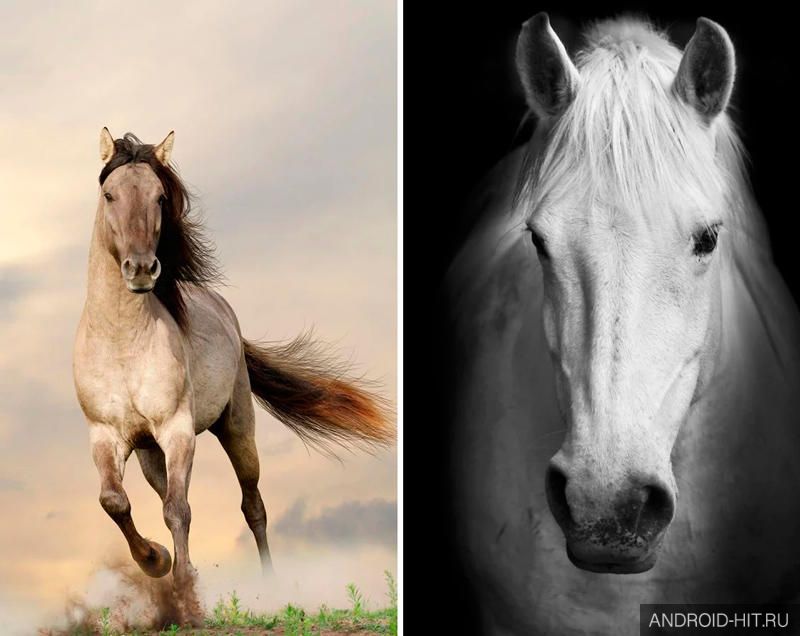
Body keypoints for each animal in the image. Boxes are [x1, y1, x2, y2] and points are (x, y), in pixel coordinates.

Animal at [72, 129, 392, 623]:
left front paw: (187, 599)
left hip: (237, 427)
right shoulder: (106, 435)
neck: (122, 340)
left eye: (160, 197)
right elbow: (116, 501)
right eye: (110, 195)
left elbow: (178, 510)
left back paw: (271, 588)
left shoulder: (178, 430)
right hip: (149, 453)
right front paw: (157, 560)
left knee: (252, 505)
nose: (142, 269)